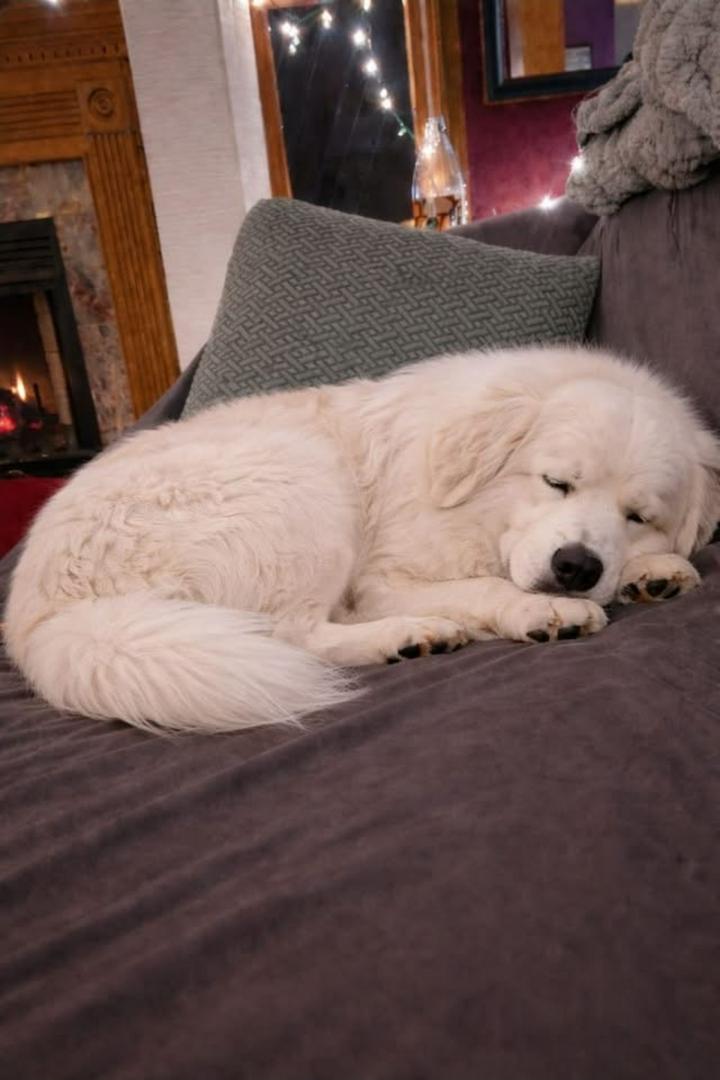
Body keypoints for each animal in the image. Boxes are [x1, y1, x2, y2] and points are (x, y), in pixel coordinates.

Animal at [4, 345, 719, 733]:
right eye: (556, 482)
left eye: (638, 515)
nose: (576, 566)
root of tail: (43, 621)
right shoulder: (382, 580)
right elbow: (485, 587)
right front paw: (543, 610)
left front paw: (655, 572)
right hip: (305, 480)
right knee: (294, 636)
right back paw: (409, 636)